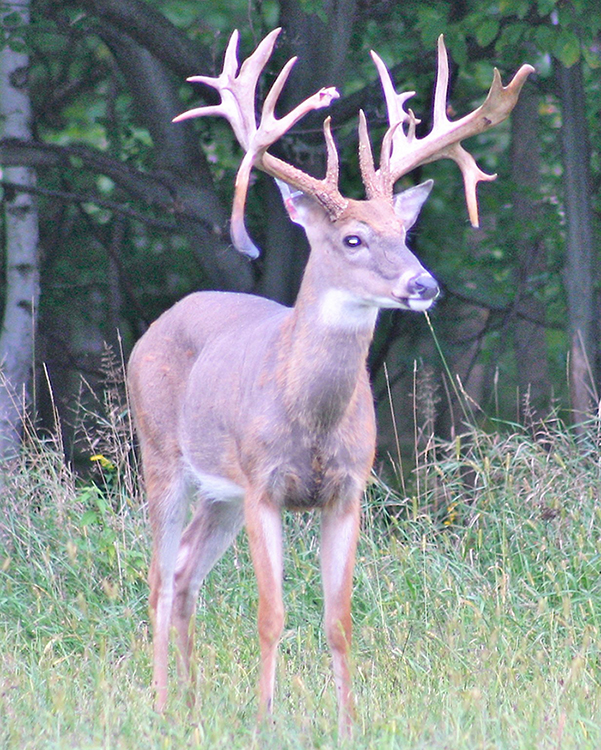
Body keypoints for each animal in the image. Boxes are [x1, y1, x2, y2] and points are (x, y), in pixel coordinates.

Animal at [127, 28, 533, 737]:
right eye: (352, 239)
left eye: (405, 230)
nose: (424, 284)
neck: (310, 419)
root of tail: (157, 324)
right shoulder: (264, 484)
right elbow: (271, 615)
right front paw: (264, 722)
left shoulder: (348, 489)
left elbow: (338, 620)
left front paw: (348, 725)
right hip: (162, 455)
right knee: (156, 577)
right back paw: (160, 707)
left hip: (220, 493)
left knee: (183, 575)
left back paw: (194, 706)